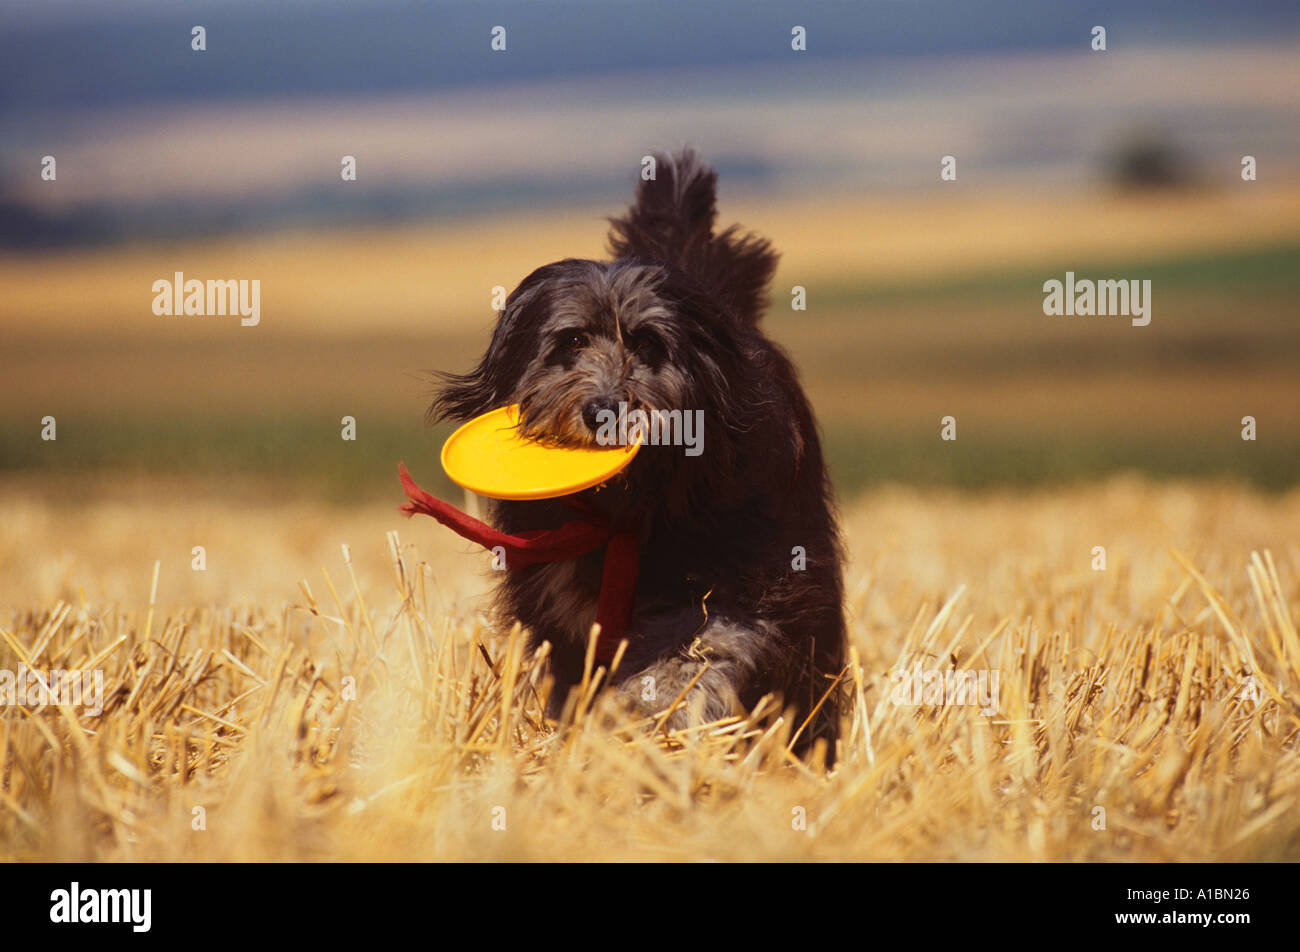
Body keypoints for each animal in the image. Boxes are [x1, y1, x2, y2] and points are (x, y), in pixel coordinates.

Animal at [431, 148, 847, 759]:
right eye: (572, 341)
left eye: (649, 344)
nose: (606, 410)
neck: (632, 511)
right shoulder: (559, 599)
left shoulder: (745, 576)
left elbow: (704, 646)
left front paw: (659, 716)